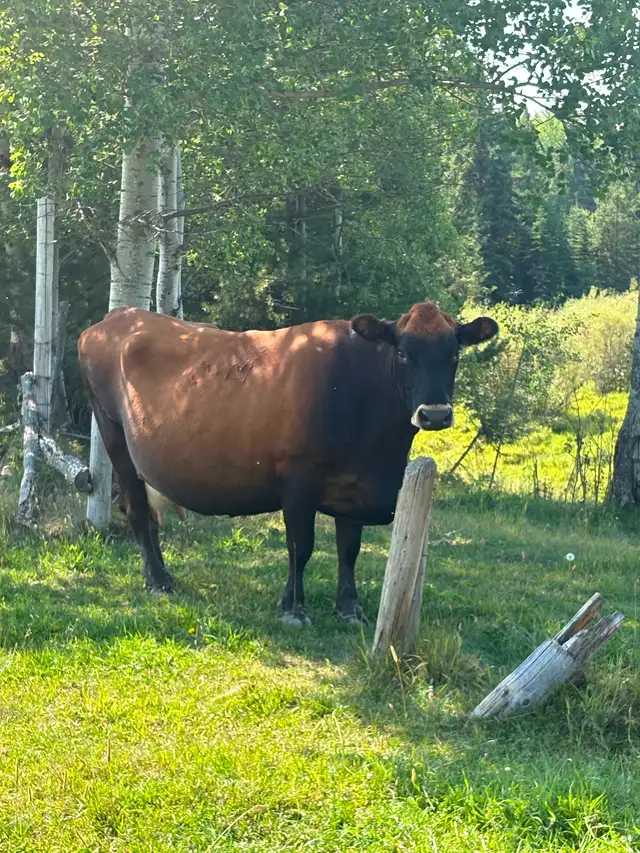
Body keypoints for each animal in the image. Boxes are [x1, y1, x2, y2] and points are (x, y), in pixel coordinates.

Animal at [78, 302, 497, 625]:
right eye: (403, 353)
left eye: (454, 354)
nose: (435, 414)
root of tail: (116, 316)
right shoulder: (298, 479)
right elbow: (301, 545)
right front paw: (294, 608)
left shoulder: (355, 487)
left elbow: (349, 549)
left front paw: (350, 609)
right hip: (114, 435)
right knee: (136, 509)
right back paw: (158, 580)